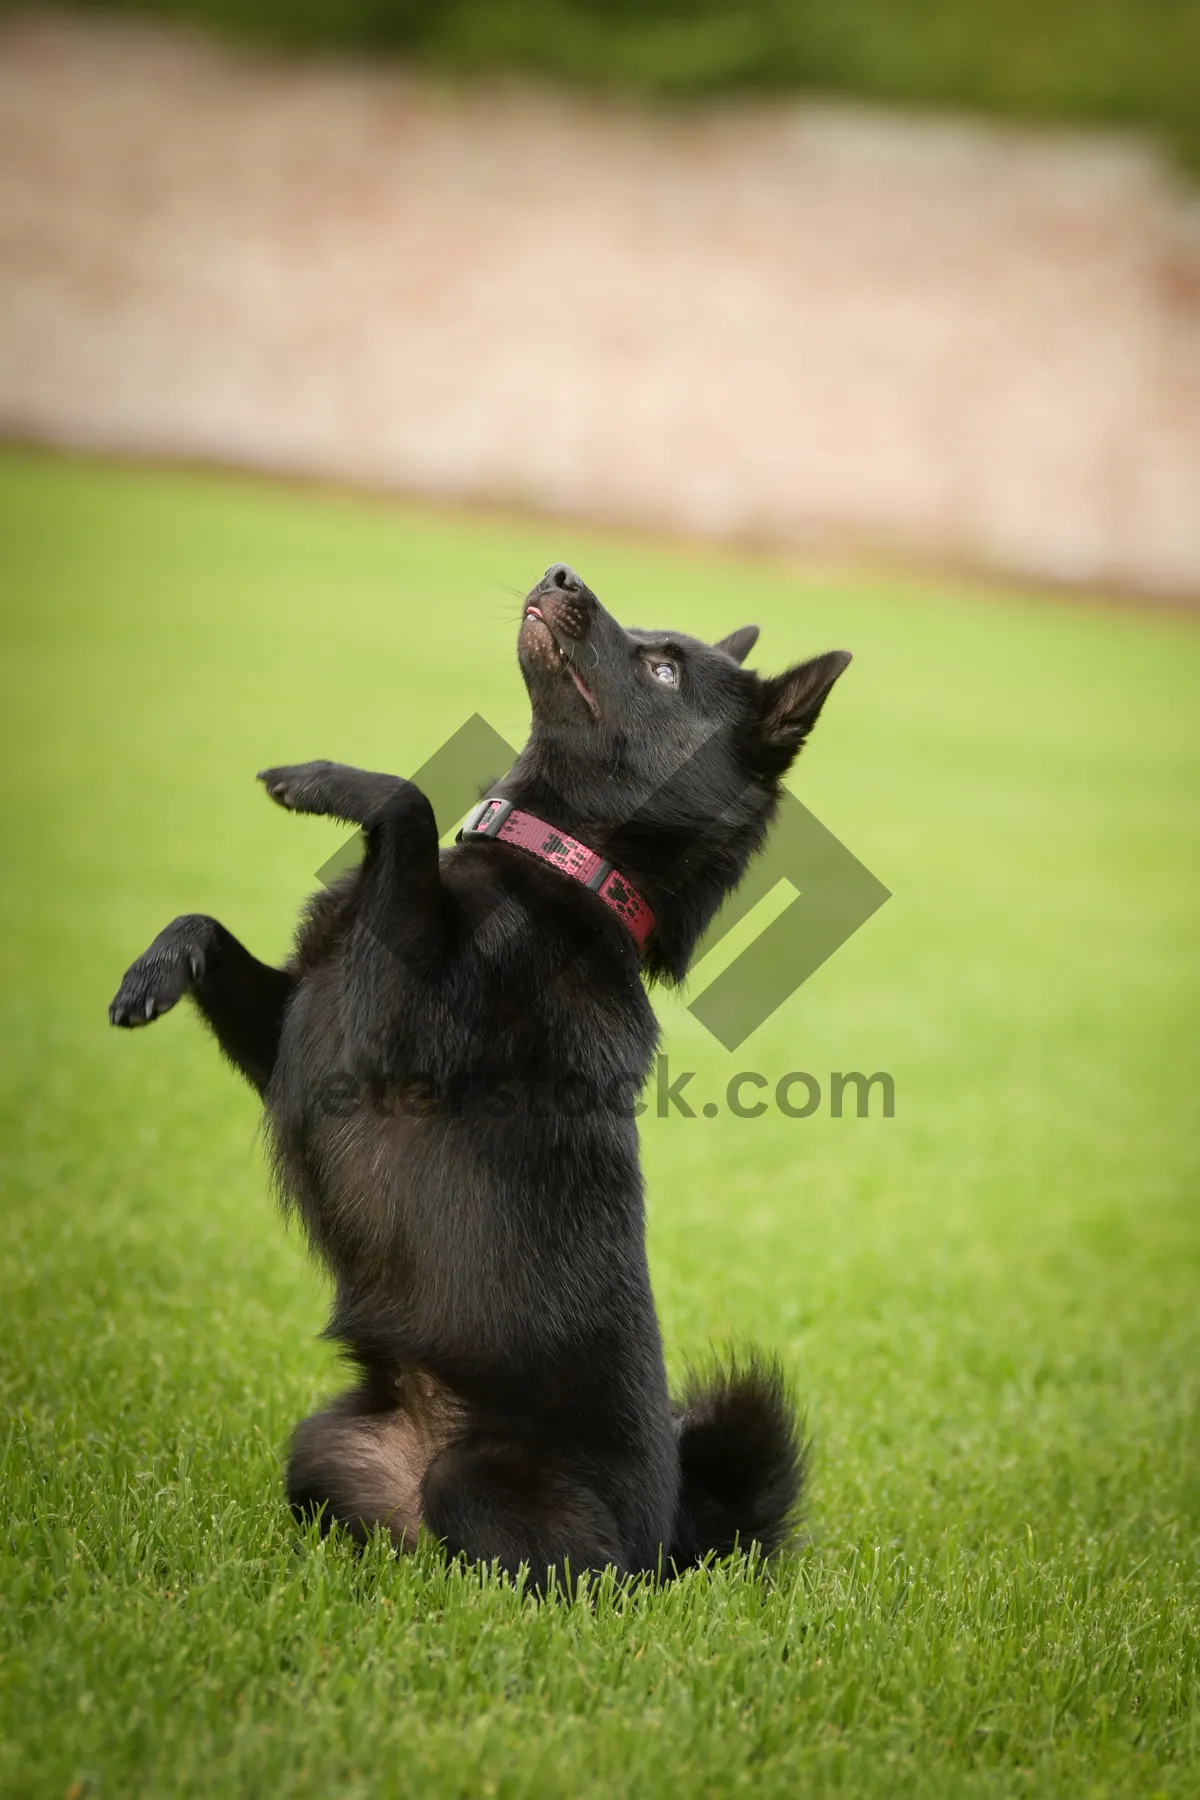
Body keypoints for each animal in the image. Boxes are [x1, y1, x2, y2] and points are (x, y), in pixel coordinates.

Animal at [107, 561, 849, 1591]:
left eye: (663, 669)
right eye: (651, 639)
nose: (561, 572)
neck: (559, 869)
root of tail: (671, 1549)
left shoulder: (379, 1035)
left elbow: (407, 804)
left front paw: (323, 781)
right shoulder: (303, 1031)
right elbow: (207, 928)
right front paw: (151, 975)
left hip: (481, 1484)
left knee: (515, 1575)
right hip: (324, 1446)